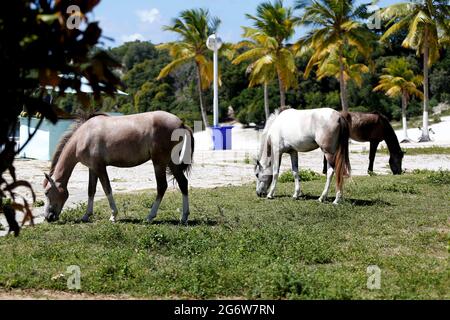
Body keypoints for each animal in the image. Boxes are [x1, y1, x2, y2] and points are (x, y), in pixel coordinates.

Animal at [42, 111, 195, 224]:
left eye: (46, 192)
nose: (48, 217)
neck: (83, 136)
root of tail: (181, 123)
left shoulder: (100, 167)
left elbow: (107, 189)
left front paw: (113, 216)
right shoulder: (92, 169)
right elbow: (91, 190)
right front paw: (86, 215)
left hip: (159, 162)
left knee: (162, 186)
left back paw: (150, 217)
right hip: (171, 163)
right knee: (183, 183)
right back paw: (184, 217)